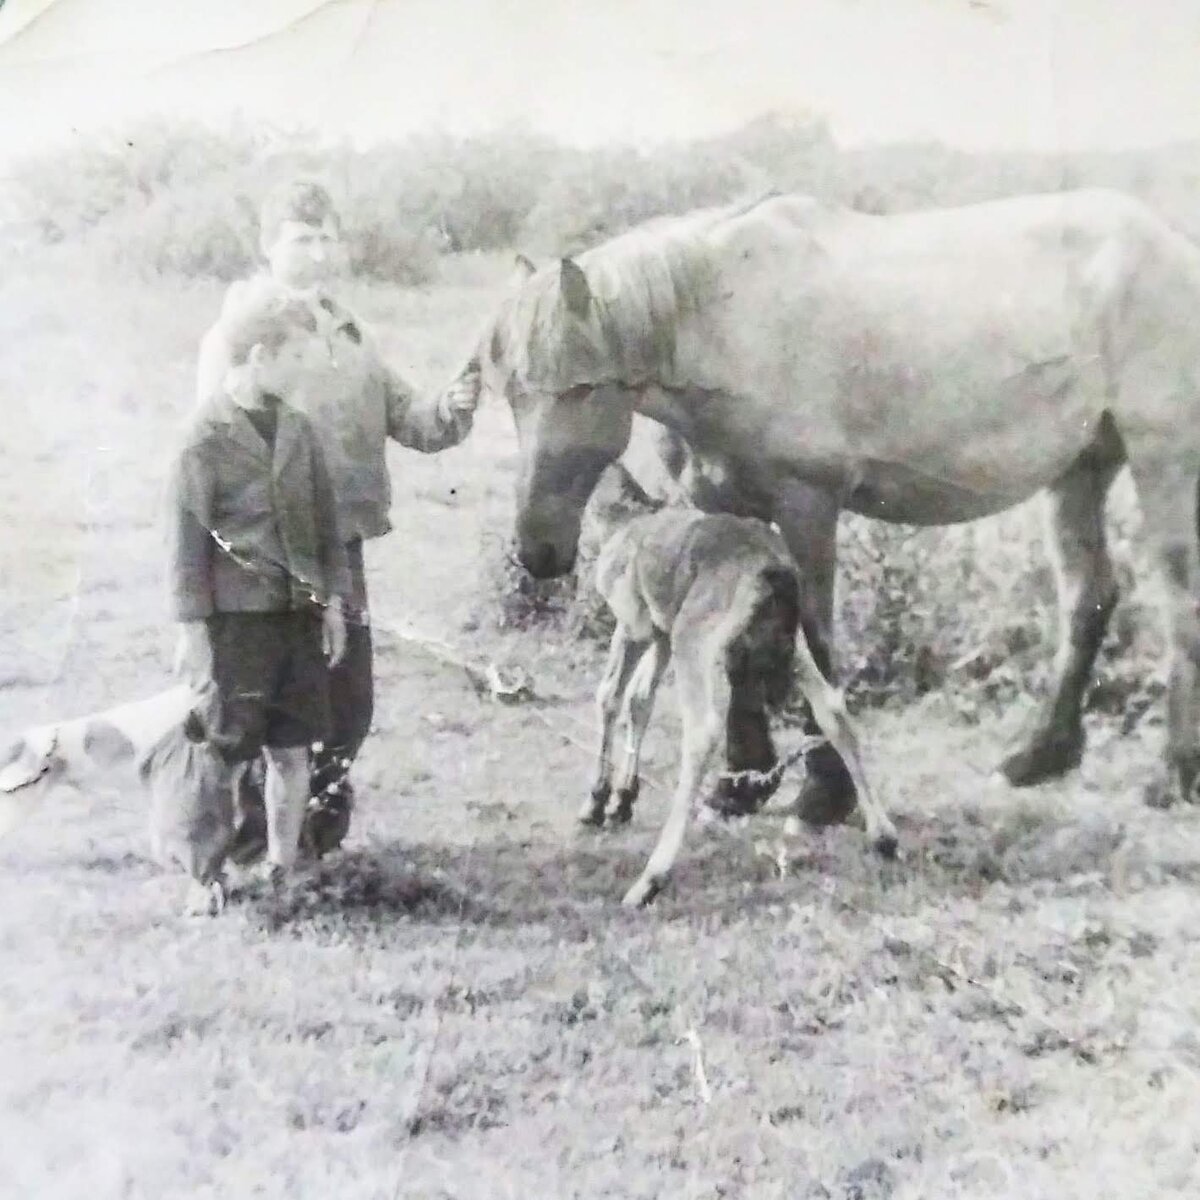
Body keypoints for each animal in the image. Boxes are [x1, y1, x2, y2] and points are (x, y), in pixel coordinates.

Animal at [463, 192, 1200, 816]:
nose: (538, 551)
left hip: (1163, 458)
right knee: (1088, 597)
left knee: (1175, 600)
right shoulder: (726, 505)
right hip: (1081, 469)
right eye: (512, 393)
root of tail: (1168, 242)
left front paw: (823, 790)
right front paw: (741, 783)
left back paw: (1170, 773)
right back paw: (1037, 756)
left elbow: (814, 639)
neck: (724, 320)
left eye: (581, 389)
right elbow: (742, 645)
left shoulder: (808, 507)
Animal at [585, 463, 897, 902]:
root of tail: (774, 570)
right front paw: (621, 801)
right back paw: (884, 838)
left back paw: (650, 879)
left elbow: (610, 694)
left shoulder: (635, 625)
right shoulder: (661, 630)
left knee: (701, 730)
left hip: (694, 638)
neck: (623, 519)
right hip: (789, 643)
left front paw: (596, 805)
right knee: (833, 708)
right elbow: (640, 699)